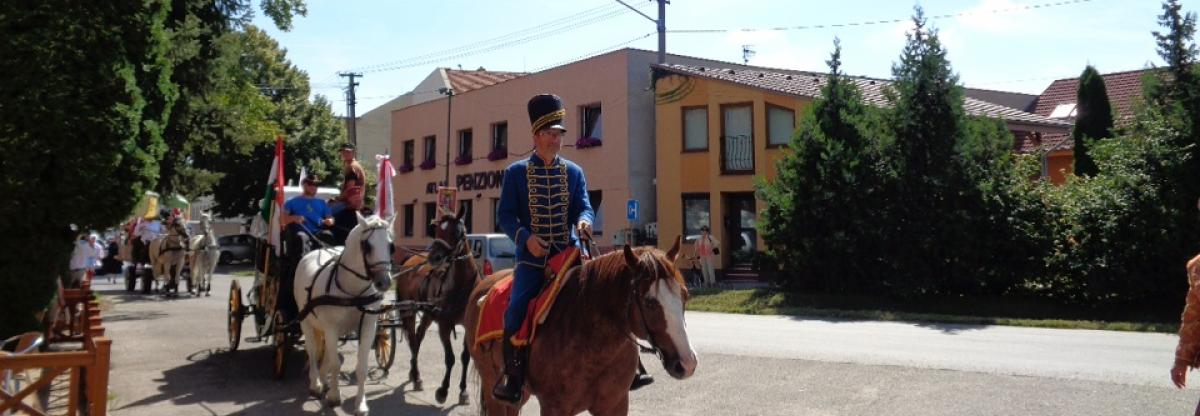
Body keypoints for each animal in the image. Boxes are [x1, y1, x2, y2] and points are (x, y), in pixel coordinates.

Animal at [294, 214, 393, 416]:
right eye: (367, 246)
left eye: (390, 245)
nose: (384, 282)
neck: (352, 290)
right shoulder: (331, 328)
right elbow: (335, 363)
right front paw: (334, 396)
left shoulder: (368, 326)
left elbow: (361, 367)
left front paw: (360, 404)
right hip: (306, 322)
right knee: (312, 350)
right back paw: (316, 383)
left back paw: (323, 379)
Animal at [398, 209, 482, 405]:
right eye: (435, 231)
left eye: (456, 232)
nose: (433, 257)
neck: (461, 284)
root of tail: (409, 260)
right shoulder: (444, 325)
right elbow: (450, 358)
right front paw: (443, 390)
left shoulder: (468, 326)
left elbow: (465, 357)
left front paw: (463, 391)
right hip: (409, 310)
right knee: (412, 337)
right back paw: (416, 375)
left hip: (428, 314)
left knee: (418, 337)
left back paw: (414, 375)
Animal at [463, 237, 700, 416]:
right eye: (649, 302)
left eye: (685, 295)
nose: (687, 363)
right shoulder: (554, 408)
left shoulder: (615, 405)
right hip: (493, 386)